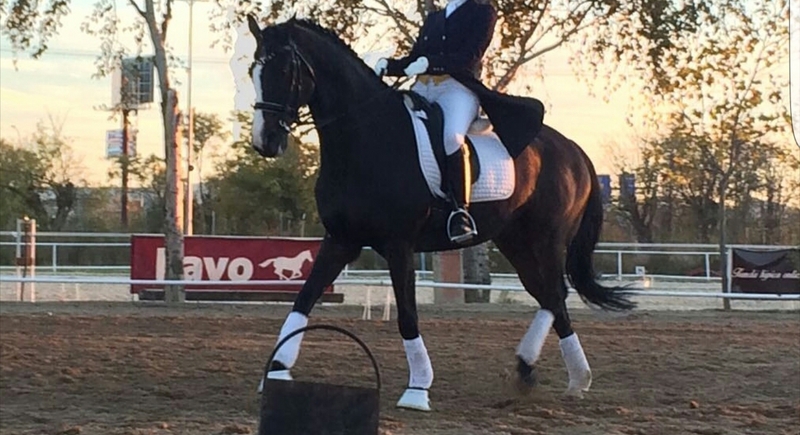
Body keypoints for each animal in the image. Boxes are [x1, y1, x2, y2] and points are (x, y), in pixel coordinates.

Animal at [246, 16, 635, 411]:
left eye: (285, 70)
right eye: (253, 70)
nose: (265, 142)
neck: (366, 137)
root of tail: (574, 150)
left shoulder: (399, 244)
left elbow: (406, 315)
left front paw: (418, 388)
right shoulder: (341, 240)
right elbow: (303, 300)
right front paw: (276, 370)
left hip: (548, 238)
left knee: (556, 293)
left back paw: (557, 373)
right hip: (515, 241)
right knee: (548, 296)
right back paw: (548, 374)